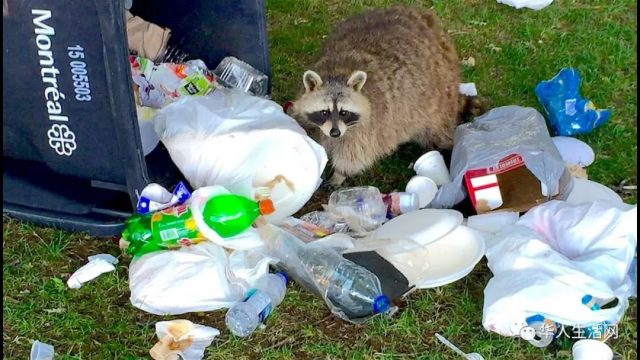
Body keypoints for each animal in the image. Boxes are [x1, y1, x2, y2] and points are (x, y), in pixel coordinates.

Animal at [290, 6, 484, 186]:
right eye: (324, 112)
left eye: (344, 112)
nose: (335, 132)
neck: (337, 72)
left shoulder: (372, 125)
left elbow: (356, 153)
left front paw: (340, 173)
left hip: (439, 102)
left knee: (438, 132)